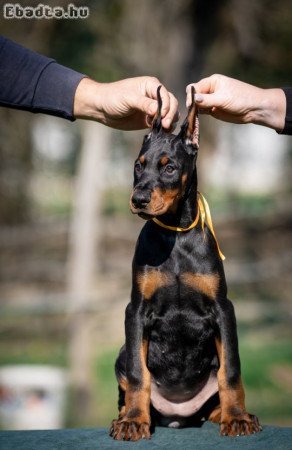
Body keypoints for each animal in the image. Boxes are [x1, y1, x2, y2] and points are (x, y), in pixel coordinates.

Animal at [109, 86, 262, 442]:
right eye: (138, 166)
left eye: (169, 167)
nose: (138, 200)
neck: (175, 234)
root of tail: (177, 416)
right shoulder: (136, 310)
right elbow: (138, 374)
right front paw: (134, 421)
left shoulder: (223, 308)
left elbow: (231, 370)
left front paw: (237, 417)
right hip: (122, 352)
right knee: (129, 380)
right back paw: (125, 416)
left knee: (215, 392)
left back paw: (229, 413)